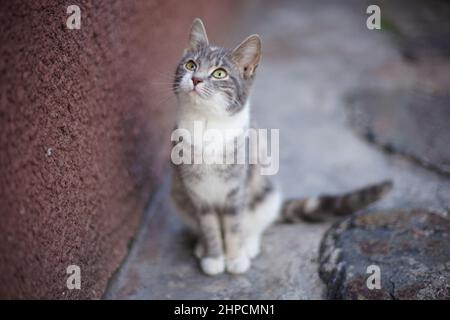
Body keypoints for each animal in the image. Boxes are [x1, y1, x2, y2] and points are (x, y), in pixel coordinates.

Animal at [171, 18, 392, 276]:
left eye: (219, 73)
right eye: (191, 64)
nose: (196, 79)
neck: (206, 124)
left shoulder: (238, 188)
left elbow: (235, 225)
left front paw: (235, 257)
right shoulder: (197, 193)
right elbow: (209, 226)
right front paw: (215, 256)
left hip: (266, 193)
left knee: (255, 222)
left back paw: (249, 244)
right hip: (178, 196)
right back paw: (202, 246)